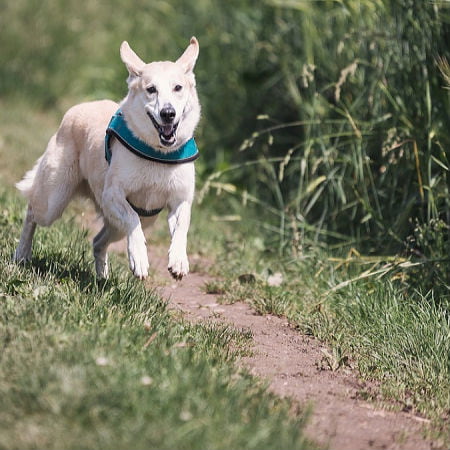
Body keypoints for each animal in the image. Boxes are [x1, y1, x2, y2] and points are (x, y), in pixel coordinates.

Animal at [14, 37, 200, 280]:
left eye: (178, 87)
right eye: (151, 89)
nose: (168, 113)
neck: (158, 153)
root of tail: (79, 107)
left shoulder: (180, 200)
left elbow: (182, 228)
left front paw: (178, 261)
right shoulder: (112, 195)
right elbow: (132, 219)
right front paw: (140, 259)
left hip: (129, 222)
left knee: (98, 241)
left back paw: (102, 277)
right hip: (53, 200)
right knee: (31, 212)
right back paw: (22, 254)